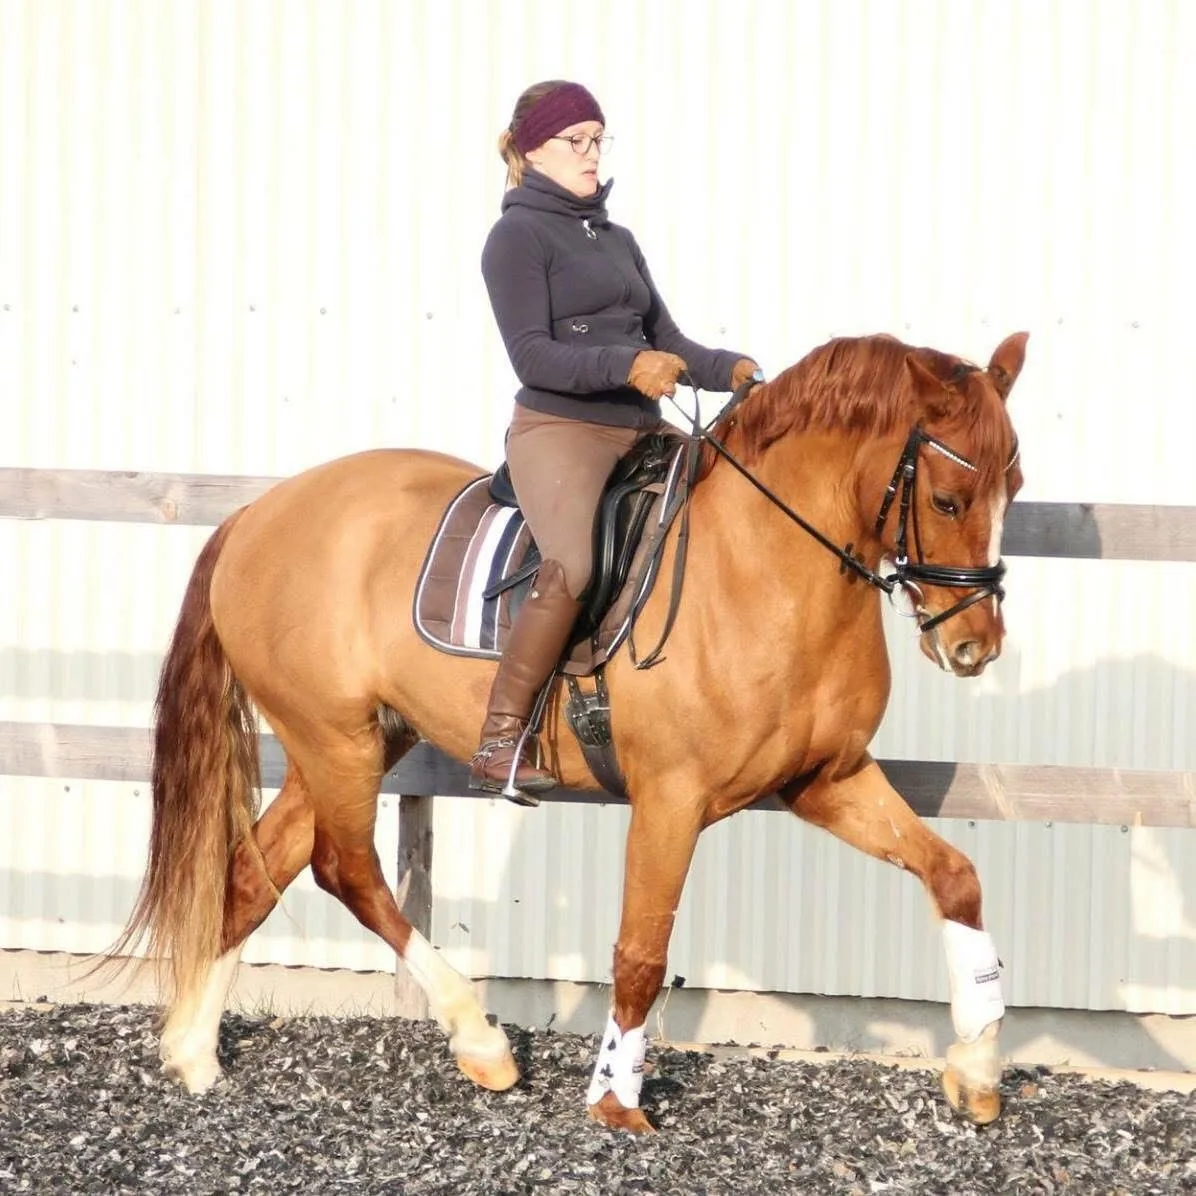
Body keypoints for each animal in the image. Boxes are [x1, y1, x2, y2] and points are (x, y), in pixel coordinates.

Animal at [107, 329, 1028, 1135]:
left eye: (1013, 490)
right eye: (946, 498)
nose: (972, 646)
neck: (765, 566)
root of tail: (259, 513)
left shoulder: (827, 780)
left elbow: (956, 877)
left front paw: (978, 1069)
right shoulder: (671, 799)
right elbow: (641, 953)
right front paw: (616, 1100)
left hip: (354, 740)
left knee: (258, 869)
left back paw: (193, 1054)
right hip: (334, 739)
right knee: (347, 871)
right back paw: (479, 1041)